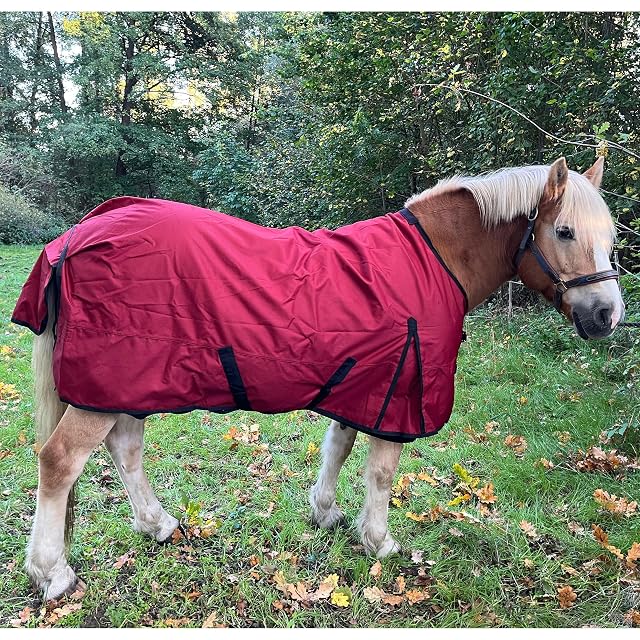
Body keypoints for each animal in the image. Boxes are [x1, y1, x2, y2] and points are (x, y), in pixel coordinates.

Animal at [11, 156, 624, 600]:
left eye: (612, 237)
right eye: (563, 230)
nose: (607, 315)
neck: (436, 259)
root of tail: (77, 235)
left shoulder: (364, 383)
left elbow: (338, 444)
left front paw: (325, 512)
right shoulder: (399, 389)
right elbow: (380, 471)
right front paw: (378, 540)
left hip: (127, 383)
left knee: (125, 448)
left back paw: (158, 525)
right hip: (107, 387)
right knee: (60, 462)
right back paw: (52, 574)